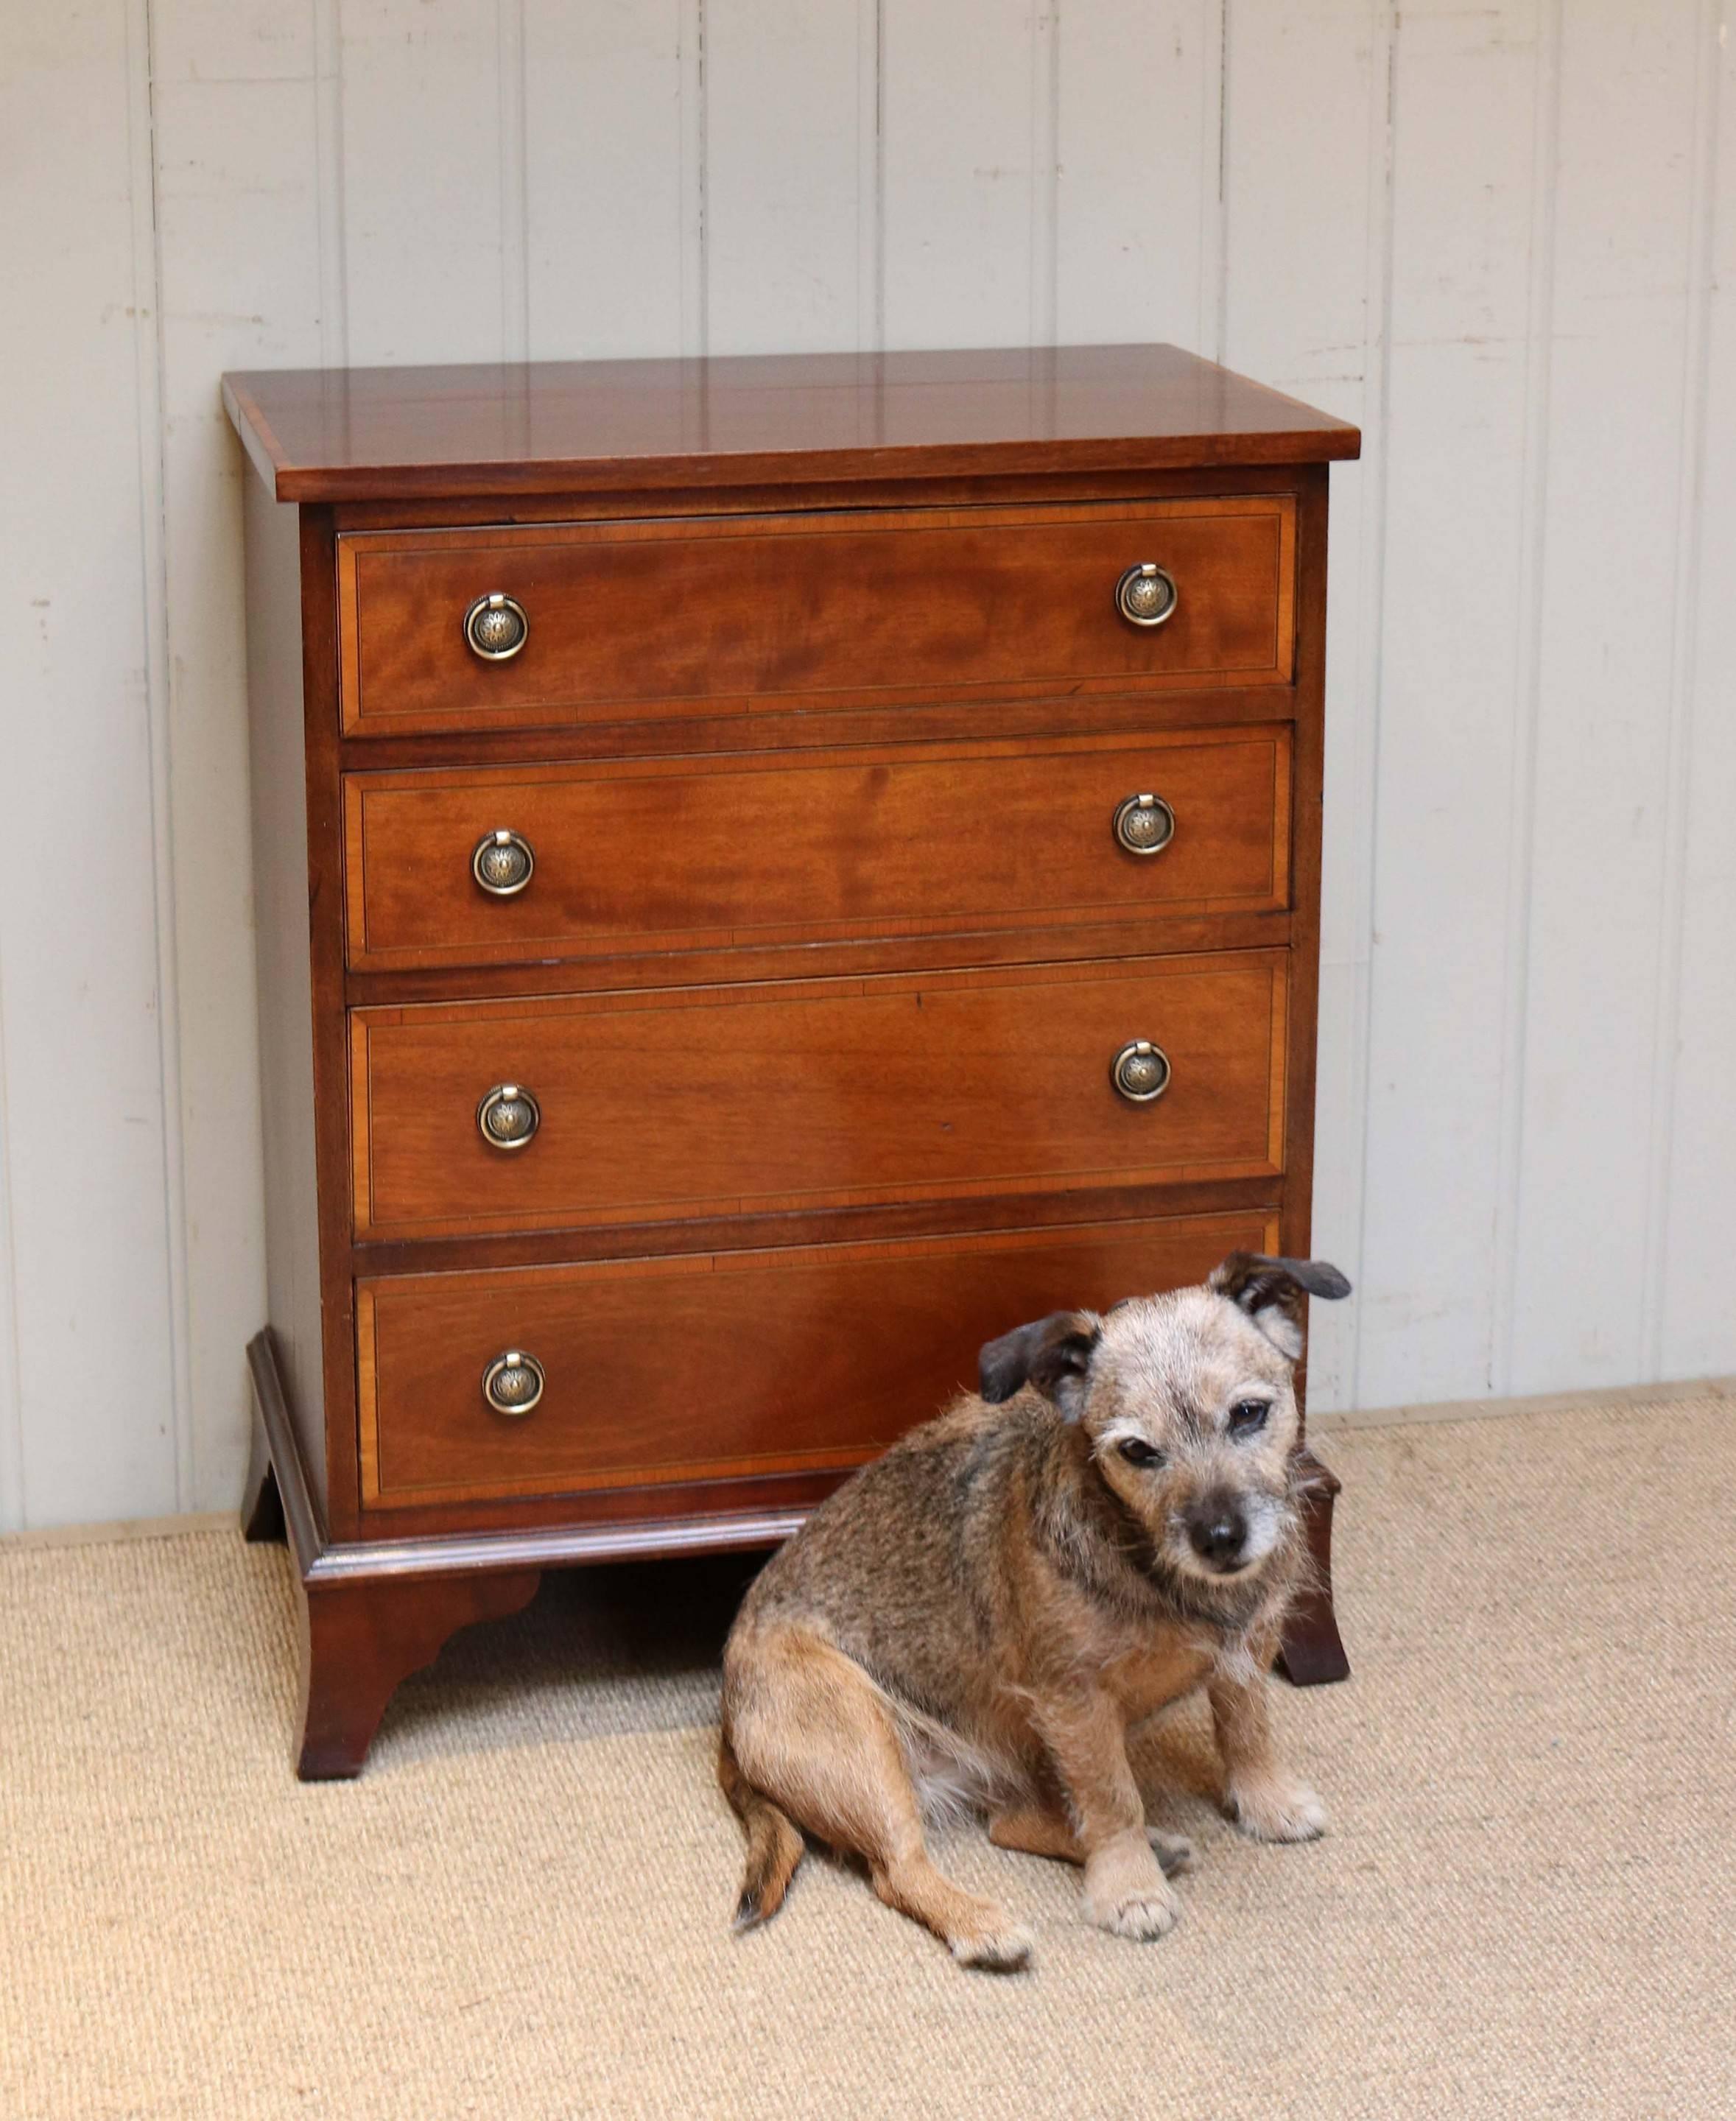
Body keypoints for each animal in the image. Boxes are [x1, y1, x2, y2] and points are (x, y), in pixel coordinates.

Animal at [709, 1247, 1349, 1960]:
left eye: (1247, 1413)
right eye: (1137, 1451)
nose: (1219, 1538)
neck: (1145, 1558)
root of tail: (727, 1720)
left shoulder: (1247, 1651)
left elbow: (1246, 1731)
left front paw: (1266, 1804)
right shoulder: (1075, 1704)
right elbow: (1112, 1799)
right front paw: (1129, 1889)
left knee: (1009, 1824)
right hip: (862, 1749)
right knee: (897, 1870)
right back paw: (982, 1925)